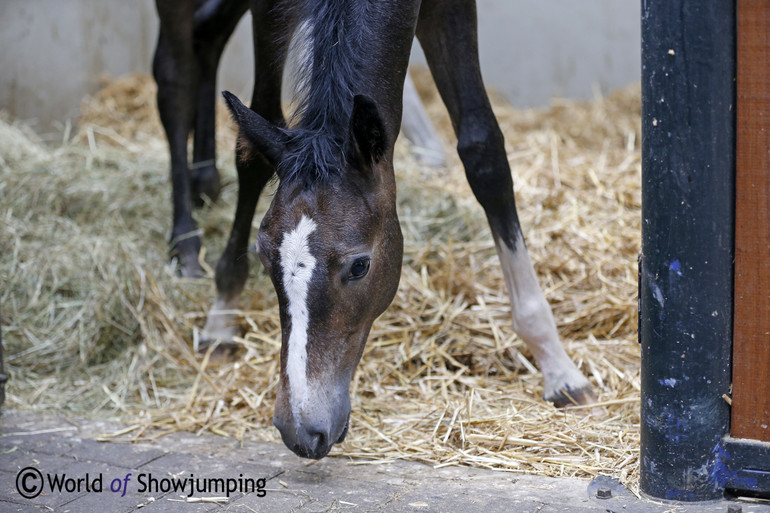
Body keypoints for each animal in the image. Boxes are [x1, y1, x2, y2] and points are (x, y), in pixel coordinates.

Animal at [152, 0, 592, 460]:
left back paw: (205, 180)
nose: (301, 431)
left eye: (360, 266)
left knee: (207, 36)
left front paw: (557, 366)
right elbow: (255, 150)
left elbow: (483, 152)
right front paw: (222, 310)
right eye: (262, 255)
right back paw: (187, 241)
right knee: (174, 71)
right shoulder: (268, 9)